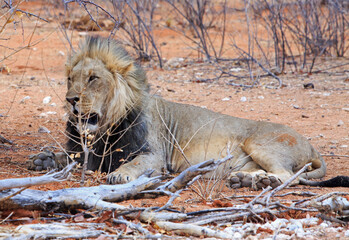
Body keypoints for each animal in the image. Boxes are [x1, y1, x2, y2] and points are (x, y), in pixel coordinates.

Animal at [28, 36, 328, 189]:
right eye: (70, 79)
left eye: (93, 79)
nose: (70, 99)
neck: (105, 128)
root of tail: (312, 145)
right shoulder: (87, 154)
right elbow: (65, 157)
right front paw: (43, 159)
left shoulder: (155, 155)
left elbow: (135, 164)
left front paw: (120, 175)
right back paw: (247, 179)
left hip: (260, 142)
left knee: (289, 176)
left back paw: (262, 181)